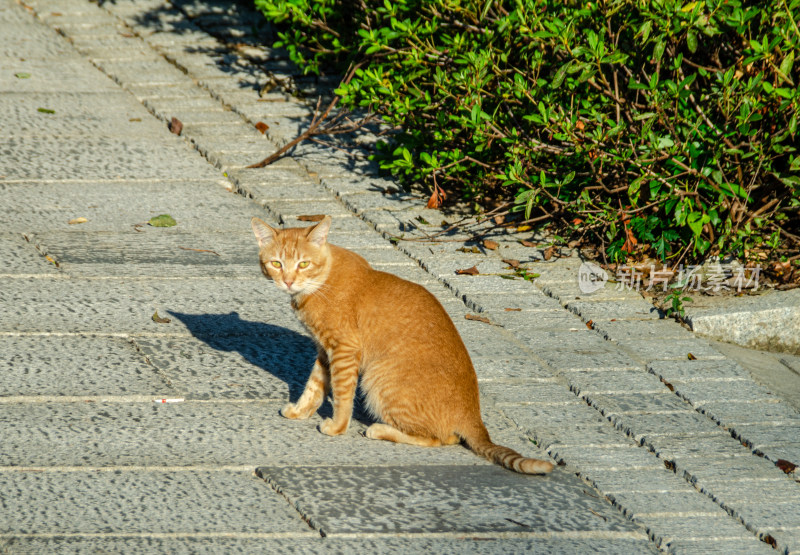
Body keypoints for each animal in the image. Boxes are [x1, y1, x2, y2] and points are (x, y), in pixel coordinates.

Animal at [253, 215, 552, 476]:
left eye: (303, 264)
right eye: (276, 263)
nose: (288, 281)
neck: (320, 282)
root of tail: (474, 415)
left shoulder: (344, 350)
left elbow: (341, 394)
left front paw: (337, 427)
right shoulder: (324, 351)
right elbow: (314, 386)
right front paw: (300, 411)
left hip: (377, 380)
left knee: (439, 439)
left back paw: (378, 429)